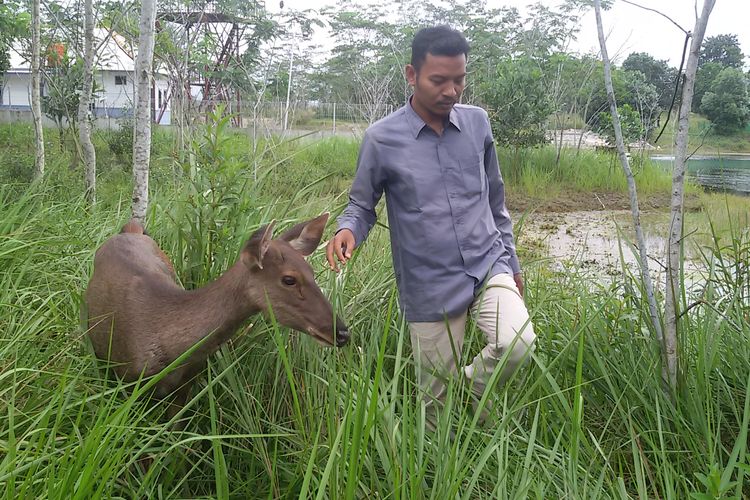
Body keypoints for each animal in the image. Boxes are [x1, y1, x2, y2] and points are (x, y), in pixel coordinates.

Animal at [86, 213, 352, 416]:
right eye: (289, 279)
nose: (342, 333)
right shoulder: (128, 383)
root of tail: (130, 229)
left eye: (313, 272)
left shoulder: (185, 386)